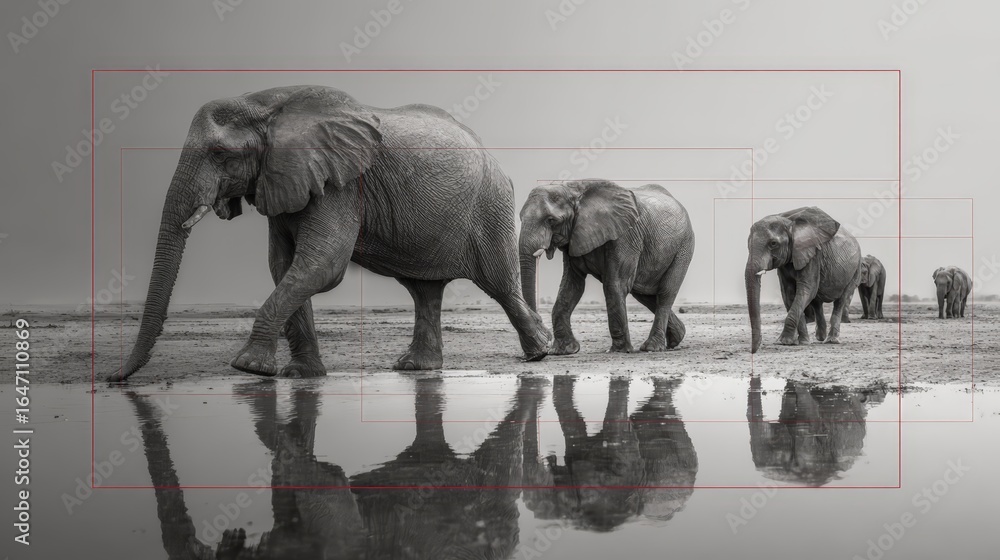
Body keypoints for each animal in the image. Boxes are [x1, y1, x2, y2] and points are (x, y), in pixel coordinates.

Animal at [108, 85, 550, 381]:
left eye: (220, 154)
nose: (114, 379)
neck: (265, 104)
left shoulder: (341, 182)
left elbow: (323, 264)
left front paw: (248, 367)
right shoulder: (283, 181)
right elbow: (284, 266)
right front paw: (301, 375)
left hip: (490, 205)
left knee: (499, 284)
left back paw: (539, 353)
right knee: (424, 291)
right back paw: (415, 368)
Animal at [518, 180, 695, 354]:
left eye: (551, 220)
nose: (545, 343)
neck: (572, 190)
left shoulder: (625, 235)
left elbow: (615, 284)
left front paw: (620, 351)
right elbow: (571, 286)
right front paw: (565, 350)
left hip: (684, 247)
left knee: (665, 292)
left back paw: (652, 347)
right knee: (645, 295)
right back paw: (676, 338)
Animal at [745, 206, 862, 352]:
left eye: (773, 243)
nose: (754, 349)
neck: (789, 223)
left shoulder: (813, 255)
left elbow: (806, 289)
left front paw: (783, 342)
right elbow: (789, 293)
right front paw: (802, 342)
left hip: (855, 270)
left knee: (841, 300)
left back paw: (831, 340)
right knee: (817, 301)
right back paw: (820, 338)